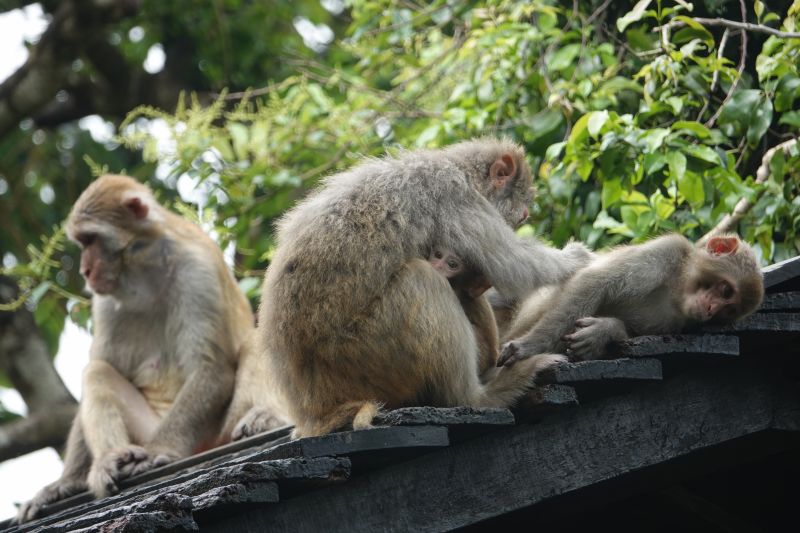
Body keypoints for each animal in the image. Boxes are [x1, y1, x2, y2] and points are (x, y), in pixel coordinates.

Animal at [18, 175, 253, 522]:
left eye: (91, 239)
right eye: (82, 243)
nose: (85, 271)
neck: (144, 269)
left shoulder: (197, 271)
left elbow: (211, 367)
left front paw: (158, 452)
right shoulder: (105, 301)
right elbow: (104, 363)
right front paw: (66, 484)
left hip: (210, 434)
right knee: (98, 371)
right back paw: (113, 459)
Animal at [497, 234, 764, 367]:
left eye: (728, 311)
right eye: (726, 291)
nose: (711, 309)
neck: (679, 288)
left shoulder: (679, 322)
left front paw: (604, 331)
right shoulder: (667, 251)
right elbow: (593, 282)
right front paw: (530, 346)